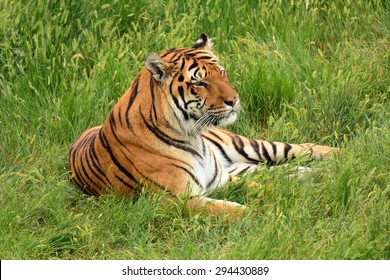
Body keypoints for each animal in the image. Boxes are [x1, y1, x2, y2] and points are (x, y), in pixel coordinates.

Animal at [68, 33, 336, 217]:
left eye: (222, 72)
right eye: (200, 83)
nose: (234, 100)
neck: (192, 135)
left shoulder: (220, 180)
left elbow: (264, 187)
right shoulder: (179, 198)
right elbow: (237, 207)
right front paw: (267, 211)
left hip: (244, 146)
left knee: (299, 149)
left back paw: (340, 158)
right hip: (240, 165)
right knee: (278, 170)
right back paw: (316, 174)